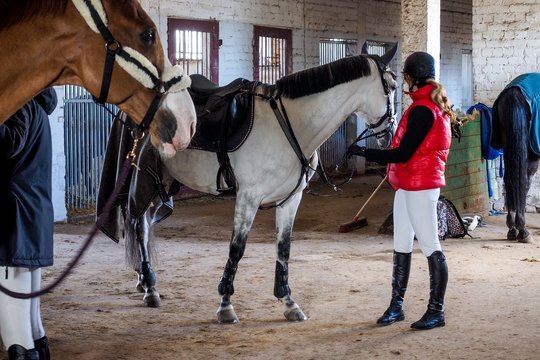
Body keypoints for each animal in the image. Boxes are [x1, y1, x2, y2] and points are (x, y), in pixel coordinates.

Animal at [124, 48, 398, 324]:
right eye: (393, 87)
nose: (390, 135)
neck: (290, 126)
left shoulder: (291, 198)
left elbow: (284, 248)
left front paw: (289, 302)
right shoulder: (248, 197)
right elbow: (237, 249)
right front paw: (225, 305)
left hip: (165, 184)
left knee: (146, 223)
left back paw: (146, 282)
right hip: (146, 181)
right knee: (139, 227)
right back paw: (149, 288)